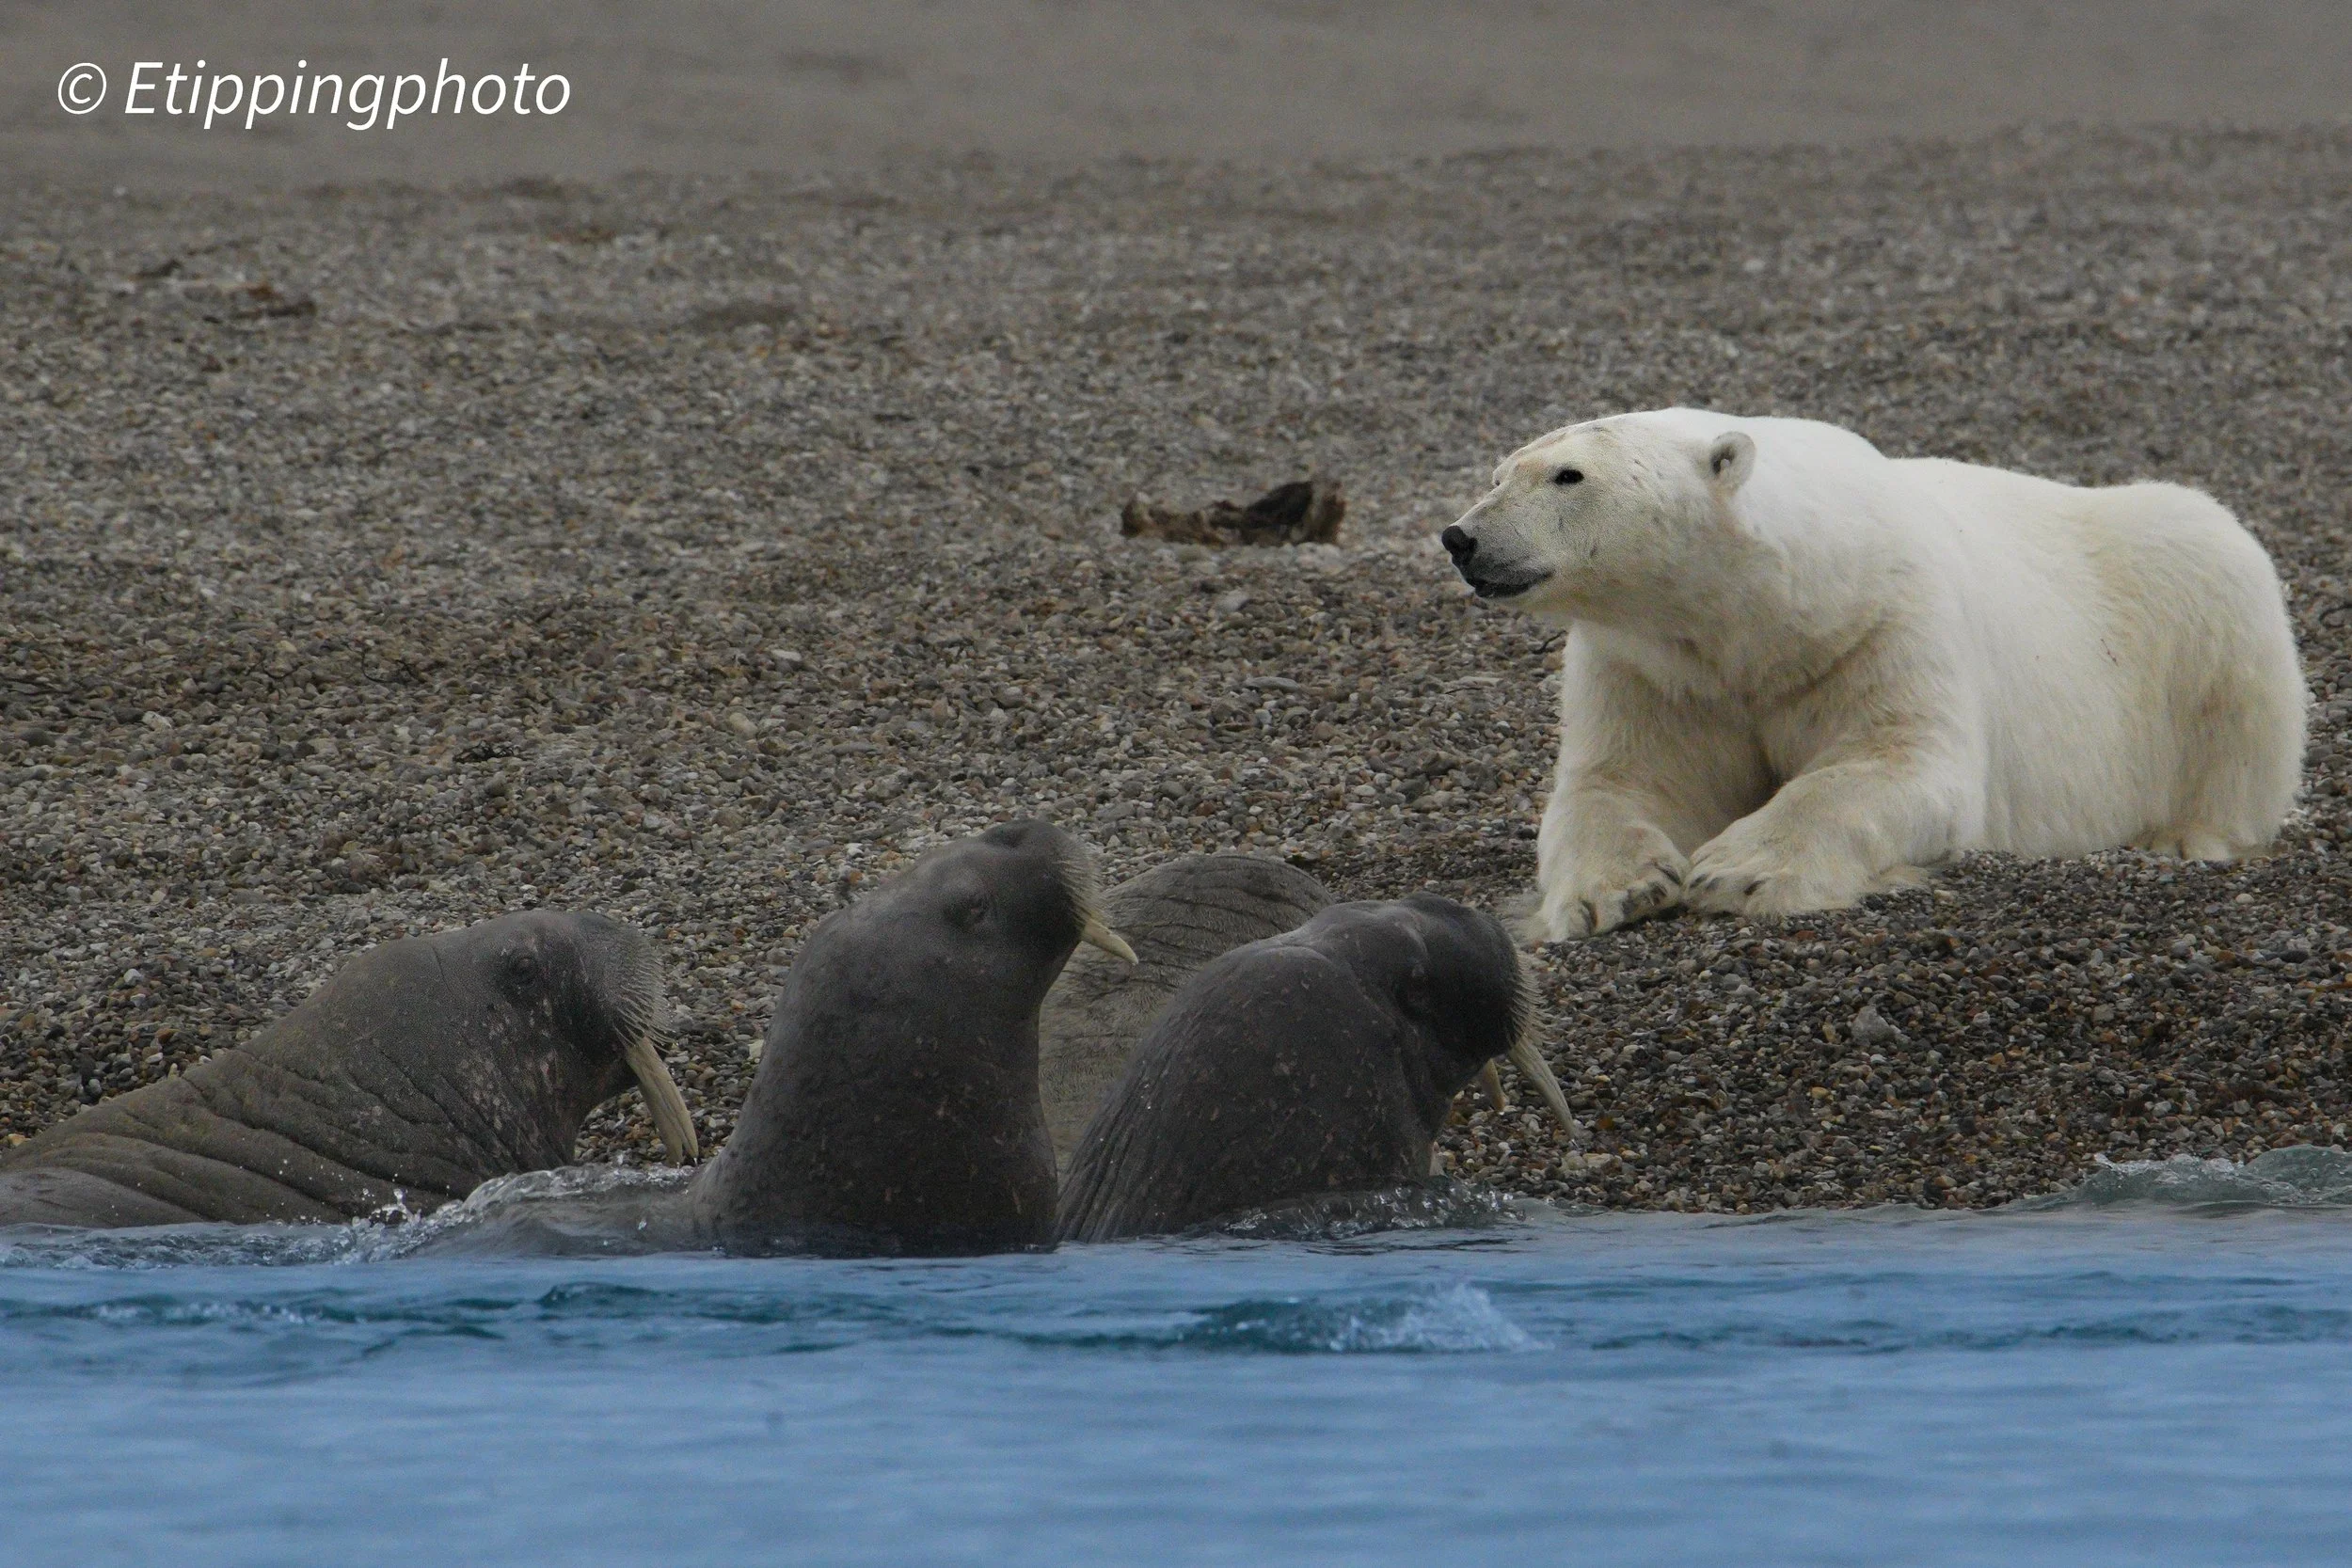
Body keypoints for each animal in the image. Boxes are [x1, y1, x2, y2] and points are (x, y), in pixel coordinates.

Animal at [1439, 407, 2306, 942]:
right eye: (1500, 472)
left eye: (1569, 476)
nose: (1462, 537)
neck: (1758, 615)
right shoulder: (1652, 666)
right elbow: (1622, 781)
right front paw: (1613, 891)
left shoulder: (1878, 623)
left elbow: (1891, 760)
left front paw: (1740, 871)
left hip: (2194, 598)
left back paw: (2184, 835)